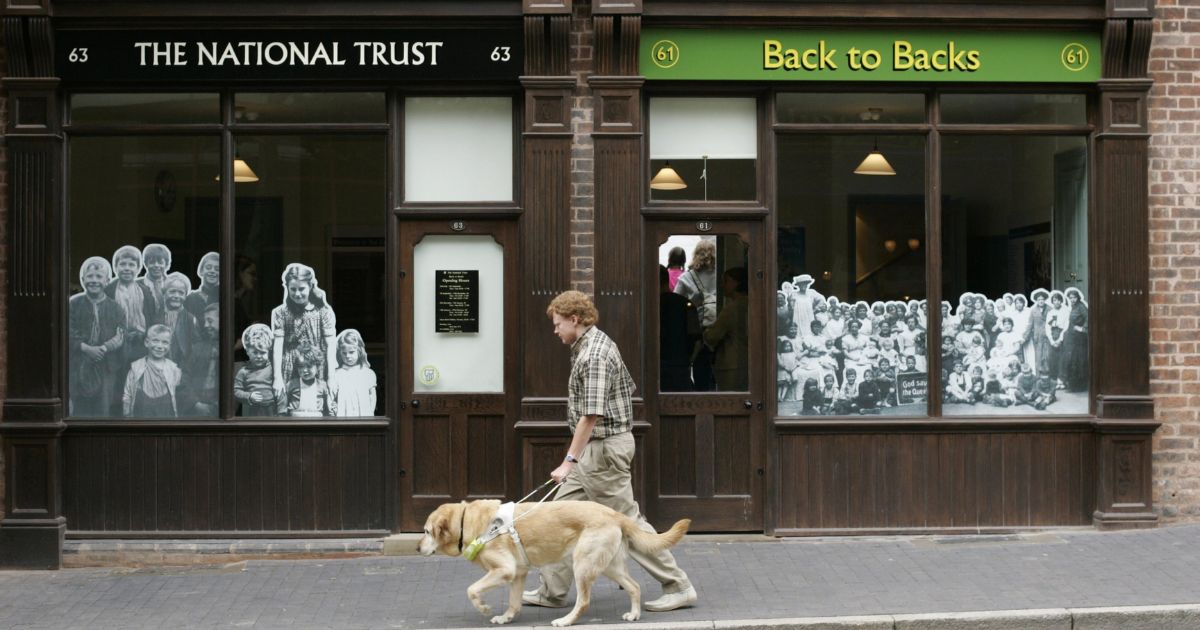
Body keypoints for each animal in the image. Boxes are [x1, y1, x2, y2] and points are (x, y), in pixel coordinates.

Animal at [417, 499, 691, 624]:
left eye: (427, 531)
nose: (418, 547)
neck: (467, 522)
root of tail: (614, 513)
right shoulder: (517, 574)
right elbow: (513, 602)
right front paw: (506, 618)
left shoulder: (504, 570)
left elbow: (471, 589)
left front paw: (483, 608)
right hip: (608, 566)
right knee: (634, 586)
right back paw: (634, 614)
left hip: (583, 565)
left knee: (583, 601)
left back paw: (566, 621)